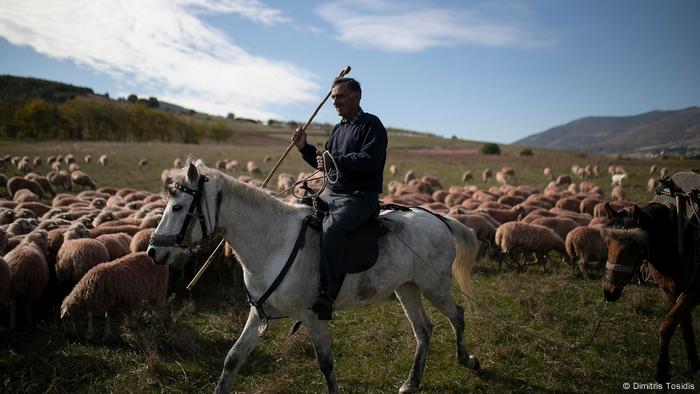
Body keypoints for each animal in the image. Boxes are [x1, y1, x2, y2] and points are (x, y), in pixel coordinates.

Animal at [148, 161, 482, 394]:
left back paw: (467, 359)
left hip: (434, 287)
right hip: (407, 288)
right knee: (424, 329)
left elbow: (326, 364)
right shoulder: (258, 315)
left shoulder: (313, 317)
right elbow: (232, 359)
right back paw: (412, 382)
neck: (274, 242)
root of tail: (440, 219)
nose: (153, 251)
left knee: (457, 315)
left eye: (177, 207)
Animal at [600, 202, 700, 384]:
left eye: (635, 245)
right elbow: (685, 328)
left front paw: (662, 370)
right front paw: (694, 366)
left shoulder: (693, 292)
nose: (608, 291)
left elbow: (666, 326)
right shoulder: (673, 292)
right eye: (607, 242)